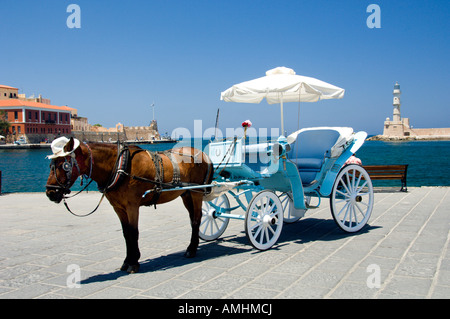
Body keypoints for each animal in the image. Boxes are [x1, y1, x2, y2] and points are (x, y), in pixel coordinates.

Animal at [45, 136, 213, 274]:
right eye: (51, 165)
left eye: (64, 165)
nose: (50, 192)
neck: (120, 166)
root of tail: (203, 154)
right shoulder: (118, 208)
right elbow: (126, 233)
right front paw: (127, 261)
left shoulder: (132, 206)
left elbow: (133, 232)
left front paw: (134, 262)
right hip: (186, 194)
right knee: (193, 219)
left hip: (197, 193)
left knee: (197, 219)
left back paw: (192, 249)